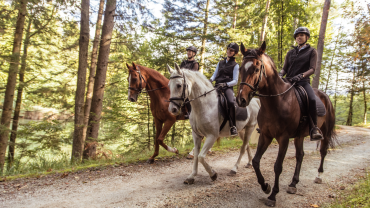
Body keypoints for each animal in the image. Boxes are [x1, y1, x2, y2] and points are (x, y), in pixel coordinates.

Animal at [236, 42, 336, 206]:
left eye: (256, 69)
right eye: (240, 68)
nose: (241, 100)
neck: (277, 101)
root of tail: (324, 96)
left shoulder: (283, 138)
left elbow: (278, 166)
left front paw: (272, 196)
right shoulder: (266, 135)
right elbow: (256, 161)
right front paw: (265, 186)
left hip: (325, 133)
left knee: (323, 152)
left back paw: (318, 176)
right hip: (299, 136)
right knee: (300, 155)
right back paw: (293, 183)